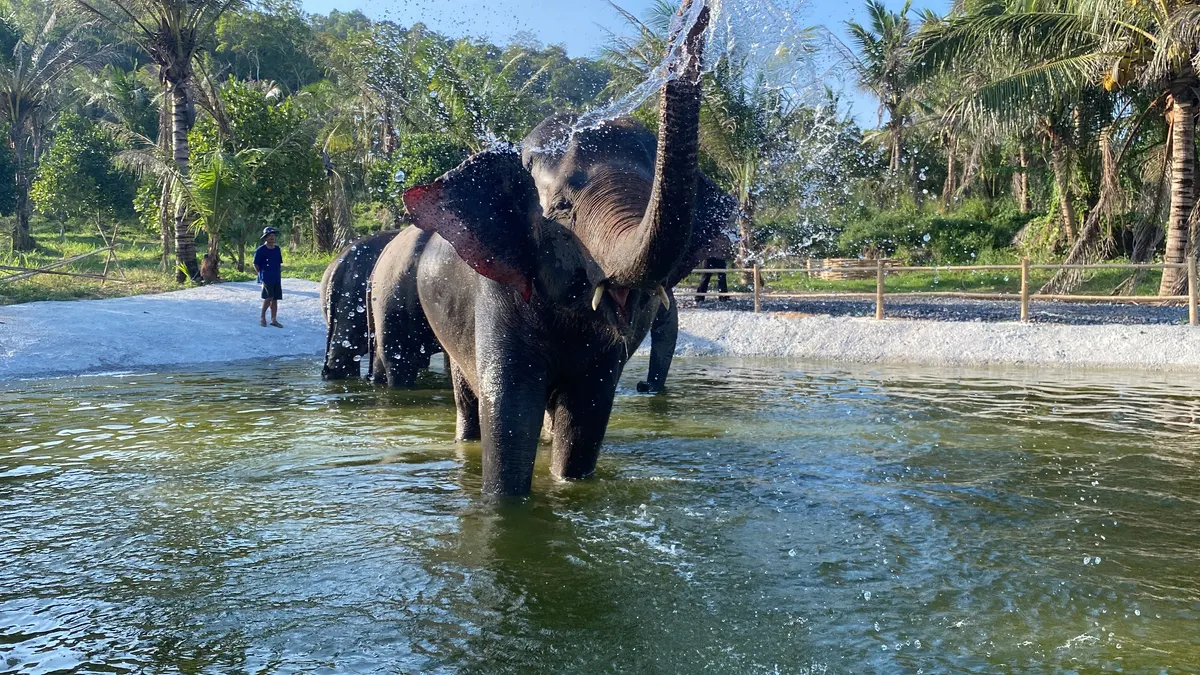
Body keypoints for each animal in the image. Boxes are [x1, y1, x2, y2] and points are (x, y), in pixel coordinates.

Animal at [396, 2, 713, 495]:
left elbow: (585, 417)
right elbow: (508, 411)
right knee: (466, 397)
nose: (696, 13)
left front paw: (569, 487)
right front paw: (504, 503)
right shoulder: (498, 290)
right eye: (563, 208)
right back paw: (465, 442)